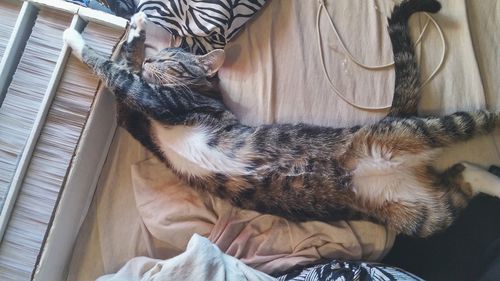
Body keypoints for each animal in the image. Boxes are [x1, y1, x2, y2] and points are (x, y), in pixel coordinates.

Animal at [64, 0, 498, 236]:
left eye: (171, 60)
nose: (153, 61)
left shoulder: (161, 103)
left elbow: (117, 70)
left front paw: (84, 35)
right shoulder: (134, 119)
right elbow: (123, 78)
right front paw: (135, 30)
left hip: (416, 133)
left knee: (473, 123)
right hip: (421, 215)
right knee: (460, 179)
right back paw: (486, 178)